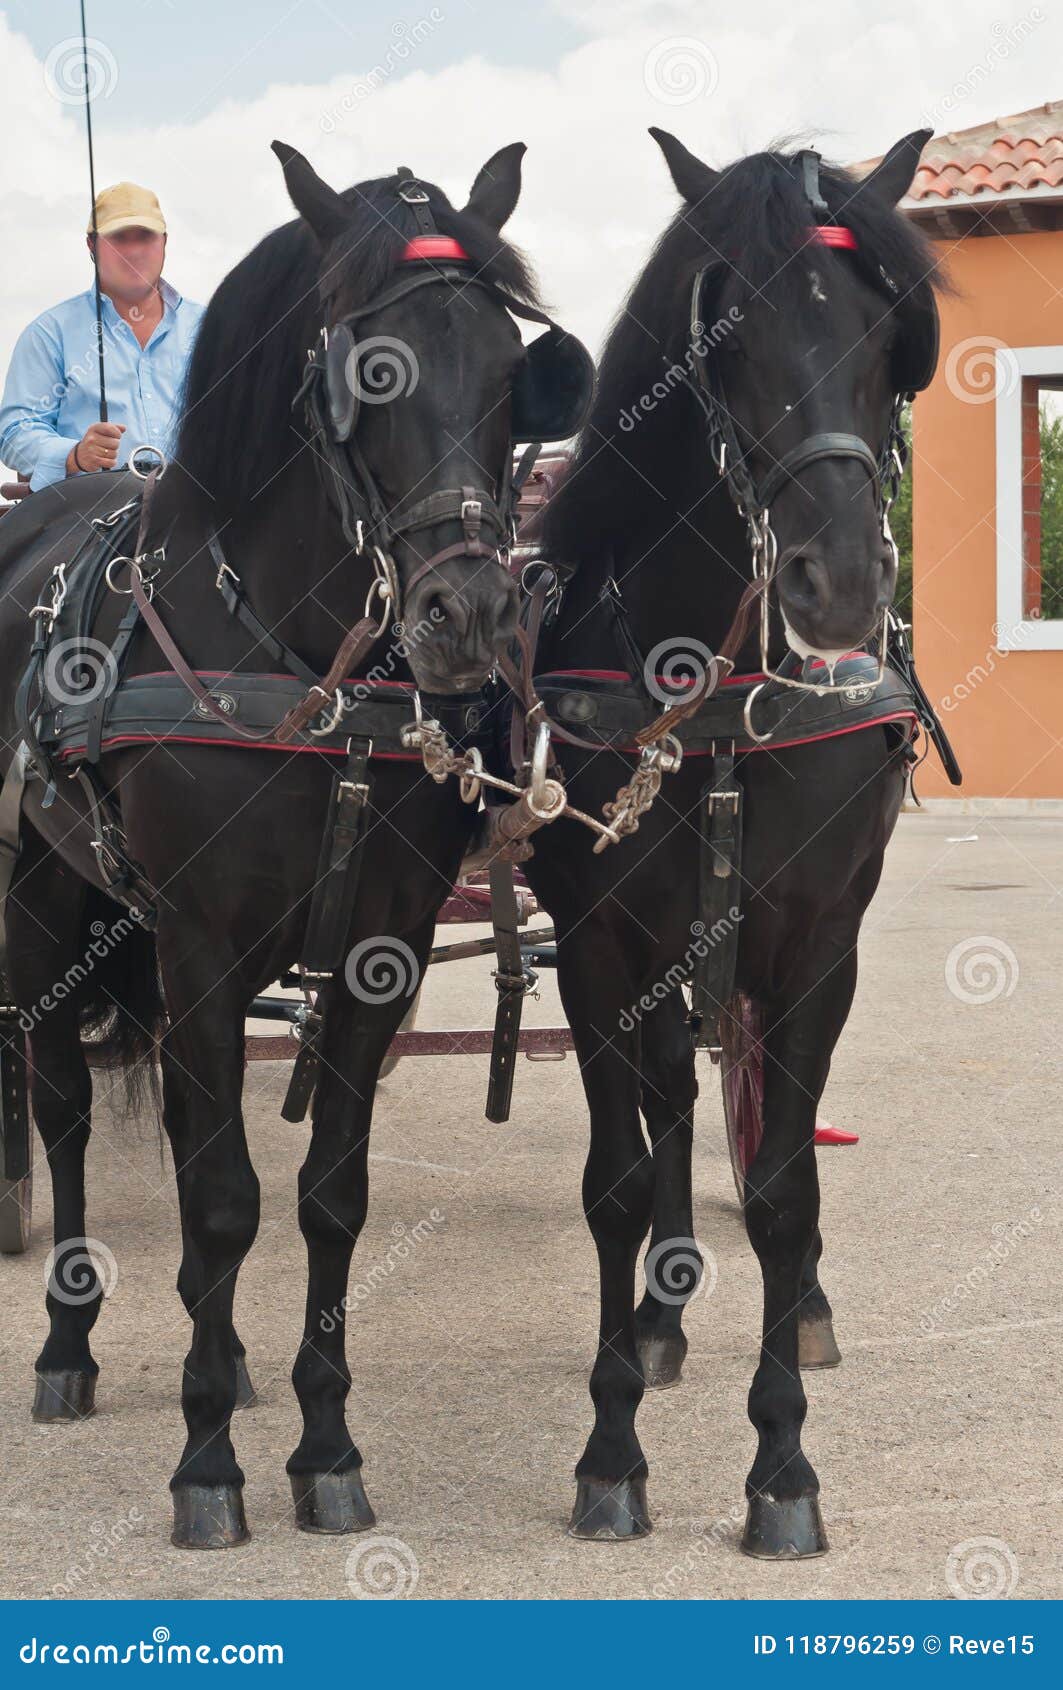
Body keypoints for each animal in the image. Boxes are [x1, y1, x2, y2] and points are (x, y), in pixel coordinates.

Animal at [0, 139, 591, 1548]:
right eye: (365, 373)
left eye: (513, 370)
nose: (468, 613)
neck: (302, 659)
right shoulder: (202, 944)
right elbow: (224, 1197)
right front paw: (206, 1465)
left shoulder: (376, 948)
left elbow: (326, 1195)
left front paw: (323, 1444)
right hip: (41, 913)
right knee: (59, 1110)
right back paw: (68, 1346)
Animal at [519, 127, 944, 1553]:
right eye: (728, 336)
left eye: (886, 331)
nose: (843, 583)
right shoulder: (598, 940)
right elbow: (615, 1173)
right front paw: (609, 1449)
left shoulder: (815, 941)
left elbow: (781, 1188)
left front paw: (783, 1470)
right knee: (670, 1099)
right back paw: (659, 1312)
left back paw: (795, 1305)